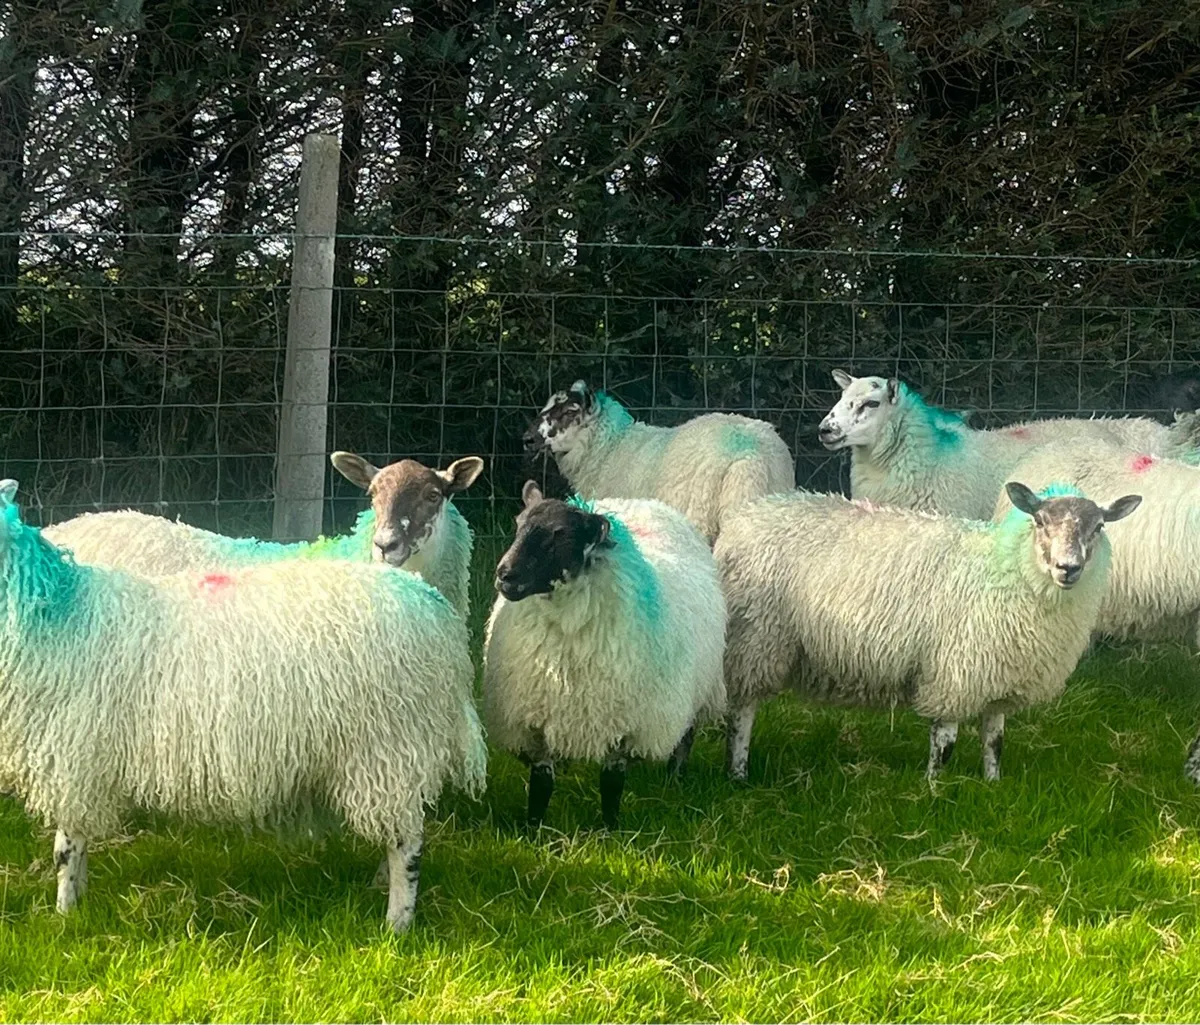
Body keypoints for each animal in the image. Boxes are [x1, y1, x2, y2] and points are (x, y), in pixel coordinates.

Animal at [0, 479, 486, 932]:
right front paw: (78, 903)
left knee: (408, 845)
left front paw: (64, 915)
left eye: (432, 495)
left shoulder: (73, 756)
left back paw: (397, 924)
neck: (56, 612)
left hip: (387, 747)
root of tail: (430, 604)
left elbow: (66, 848)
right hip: (393, 758)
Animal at [483, 482, 726, 829]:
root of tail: (641, 502)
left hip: (699, 690)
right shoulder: (536, 721)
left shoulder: (624, 724)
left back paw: (675, 780)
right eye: (518, 525)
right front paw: (534, 829)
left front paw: (610, 830)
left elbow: (611, 783)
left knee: (685, 740)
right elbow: (541, 784)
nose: (505, 574)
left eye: (559, 533)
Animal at [715, 482, 1141, 782]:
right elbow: (945, 743)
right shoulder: (955, 673)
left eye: (1099, 527)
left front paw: (993, 784)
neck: (1009, 571)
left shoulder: (999, 675)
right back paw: (738, 773)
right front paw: (934, 790)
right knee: (741, 714)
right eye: (1039, 521)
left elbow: (995, 741)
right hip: (755, 639)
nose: (1068, 568)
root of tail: (741, 519)